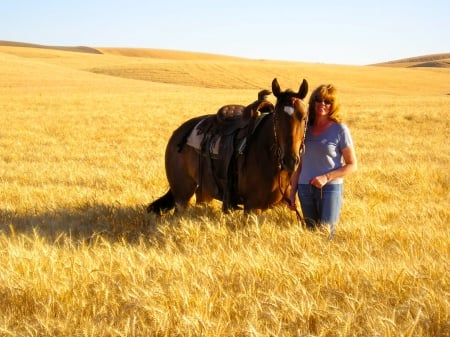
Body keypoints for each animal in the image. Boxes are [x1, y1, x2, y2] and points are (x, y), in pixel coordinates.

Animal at [148, 77, 310, 214]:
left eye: (304, 117)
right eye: (276, 118)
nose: (290, 161)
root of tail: (177, 133)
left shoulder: (285, 204)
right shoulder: (252, 207)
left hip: (204, 191)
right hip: (182, 194)